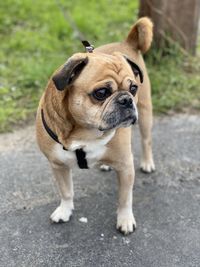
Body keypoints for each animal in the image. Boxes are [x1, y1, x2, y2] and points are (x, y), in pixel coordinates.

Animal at [35, 17, 155, 234]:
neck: (85, 133)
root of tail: (127, 42)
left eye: (133, 88)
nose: (126, 99)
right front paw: (65, 210)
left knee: (146, 140)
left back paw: (147, 163)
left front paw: (125, 219)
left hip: (145, 113)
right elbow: (66, 191)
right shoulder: (57, 165)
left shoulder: (125, 166)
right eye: (101, 93)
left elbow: (125, 198)